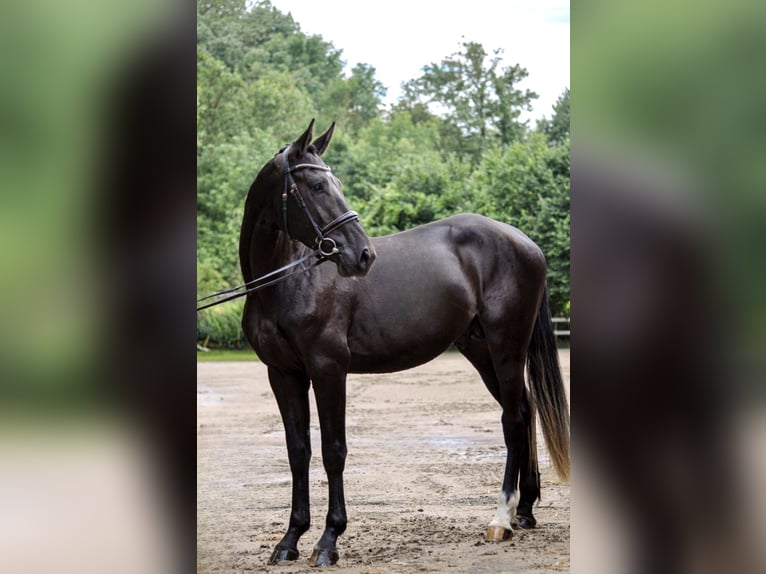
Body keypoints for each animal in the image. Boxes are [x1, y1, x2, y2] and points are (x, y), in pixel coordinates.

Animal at [240, 121, 568, 568]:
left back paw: (501, 518)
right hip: (481, 349)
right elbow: (298, 451)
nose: (362, 255)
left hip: (506, 346)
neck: (290, 280)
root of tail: (525, 241)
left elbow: (333, 450)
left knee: (514, 419)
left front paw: (328, 540)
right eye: (317, 186)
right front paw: (290, 539)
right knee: (524, 409)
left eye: (335, 183)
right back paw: (525, 509)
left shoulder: (329, 369)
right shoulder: (284, 374)